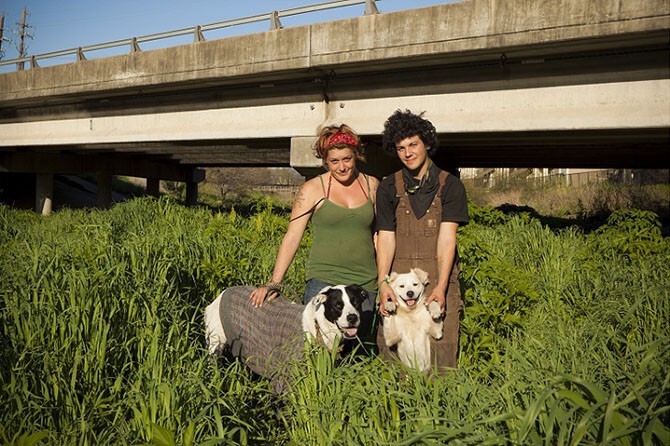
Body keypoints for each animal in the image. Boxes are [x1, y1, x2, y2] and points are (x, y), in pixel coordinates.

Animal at [205, 284, 368, 382]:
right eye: (338, 305)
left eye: (356, 303)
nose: (353, 318)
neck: (319, 327)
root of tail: (224, 292)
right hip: (216, 343)